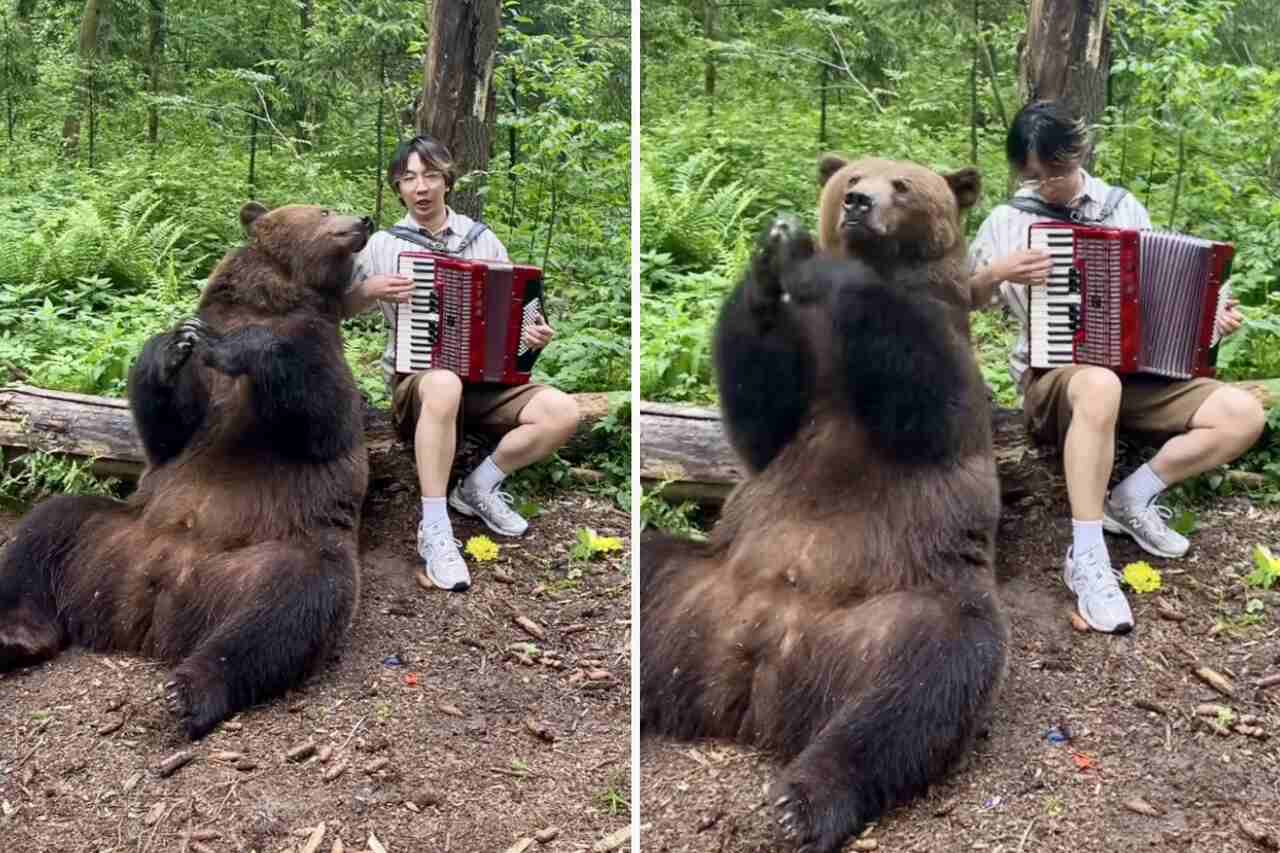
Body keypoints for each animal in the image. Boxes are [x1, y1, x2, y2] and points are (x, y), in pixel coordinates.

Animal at [0, 201, 371, 737]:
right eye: (323, 209)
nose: (363, 220)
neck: (270, 300)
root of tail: (152, 605)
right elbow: (167, 429)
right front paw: (169, 346)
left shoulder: (317, 343)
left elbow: (325, 418)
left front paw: (231, 347)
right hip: (108, 532)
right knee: (45, 528)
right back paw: (15, 636)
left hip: (274, 551)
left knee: (294, 599)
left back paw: (191, 689)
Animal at [645, 156, 1003, 845]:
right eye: (854, 177)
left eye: (904, 184)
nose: (860, 203)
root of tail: (754, 671)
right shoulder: (802, 385)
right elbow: (760, 417)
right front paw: (766, 262)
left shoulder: (944, 346)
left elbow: (925, 400)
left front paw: (808, 257)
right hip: (690, 584)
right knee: (650, 570)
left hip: (903, 607)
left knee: (919, 686)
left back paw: (803, 802)